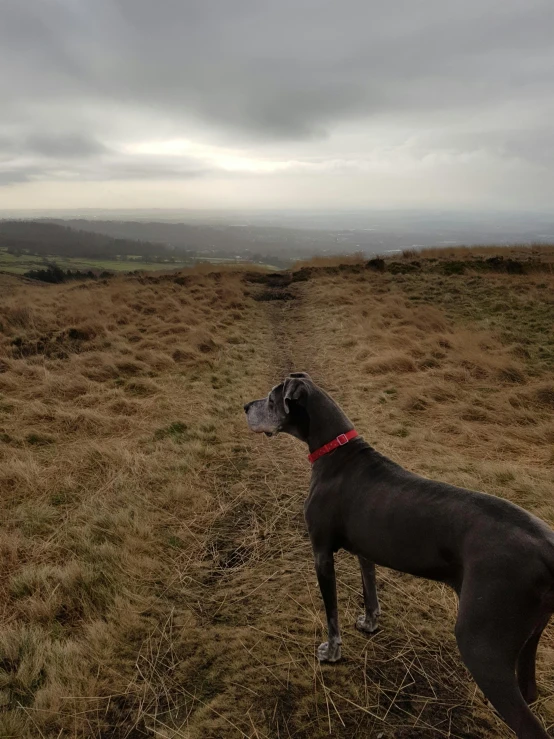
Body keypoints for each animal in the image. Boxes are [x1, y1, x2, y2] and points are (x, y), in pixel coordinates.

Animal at [244, 376, 552, 739]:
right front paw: (369, 624)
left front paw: (332, 653)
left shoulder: (321, 553)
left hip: (481, 644)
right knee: (529, 690)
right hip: (530, 634)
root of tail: (547, 547)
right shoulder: (365, 551)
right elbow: (370, 593)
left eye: (271, 399)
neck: (334, 450)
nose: (245, 407)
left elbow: (331, 614)